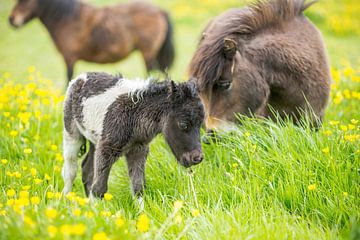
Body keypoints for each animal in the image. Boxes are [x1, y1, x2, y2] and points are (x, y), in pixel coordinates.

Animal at [9, 0, 175, 82]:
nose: (12, 20)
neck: (67, 19)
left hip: (148, 54)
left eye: (26, 1)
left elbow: (68, 78)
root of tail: (160, 10)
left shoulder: (69, 58)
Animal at [60, 72, 204, 203]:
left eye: (200, 124)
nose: (197, 158)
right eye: (184, 124)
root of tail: (80, 77)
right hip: (72, 134)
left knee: (87, 170)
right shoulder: (106, 149)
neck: (133, 116)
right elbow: (99, 188)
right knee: (70, 171)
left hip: (94, 141)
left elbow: (138, 188)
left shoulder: (138, 150)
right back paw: (65, 202)